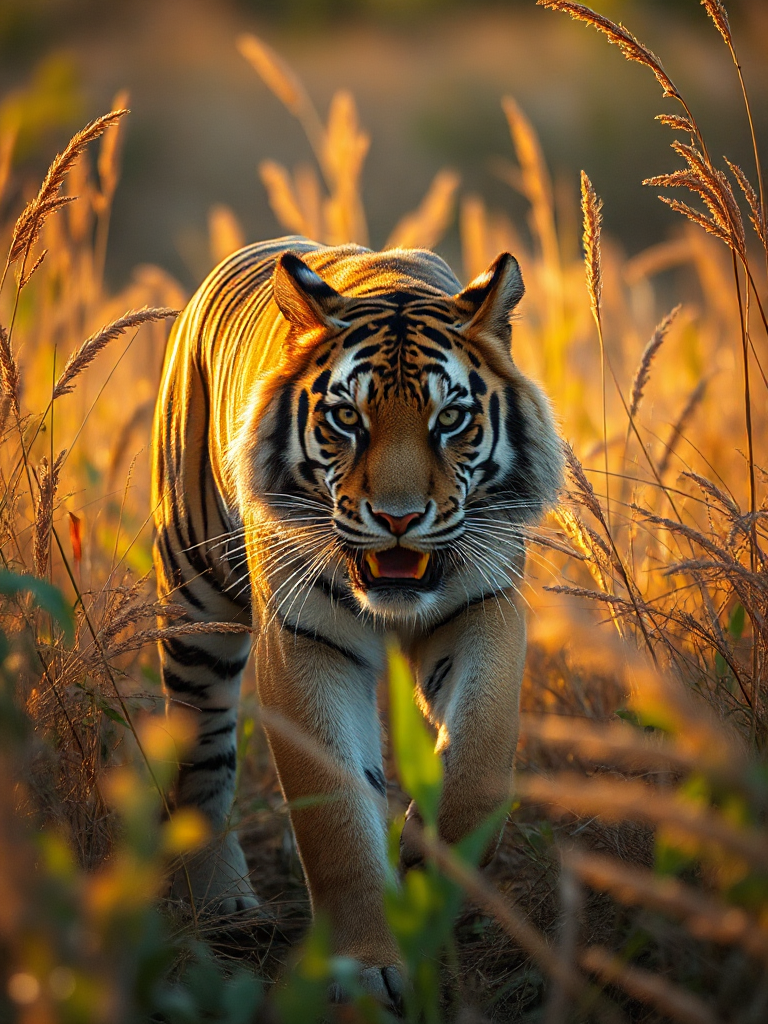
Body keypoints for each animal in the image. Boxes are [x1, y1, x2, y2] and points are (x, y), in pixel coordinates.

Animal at [151, 235, 562, 1010]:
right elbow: (335, 816)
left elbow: (479, 760)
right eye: (348, 419)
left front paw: (428, 866)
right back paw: (222, 905)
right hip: (195, 608)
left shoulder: (483, 609)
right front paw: (365, 971)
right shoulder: (304, 644)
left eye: (450, 420)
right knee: (202, 754)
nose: (399, 519)